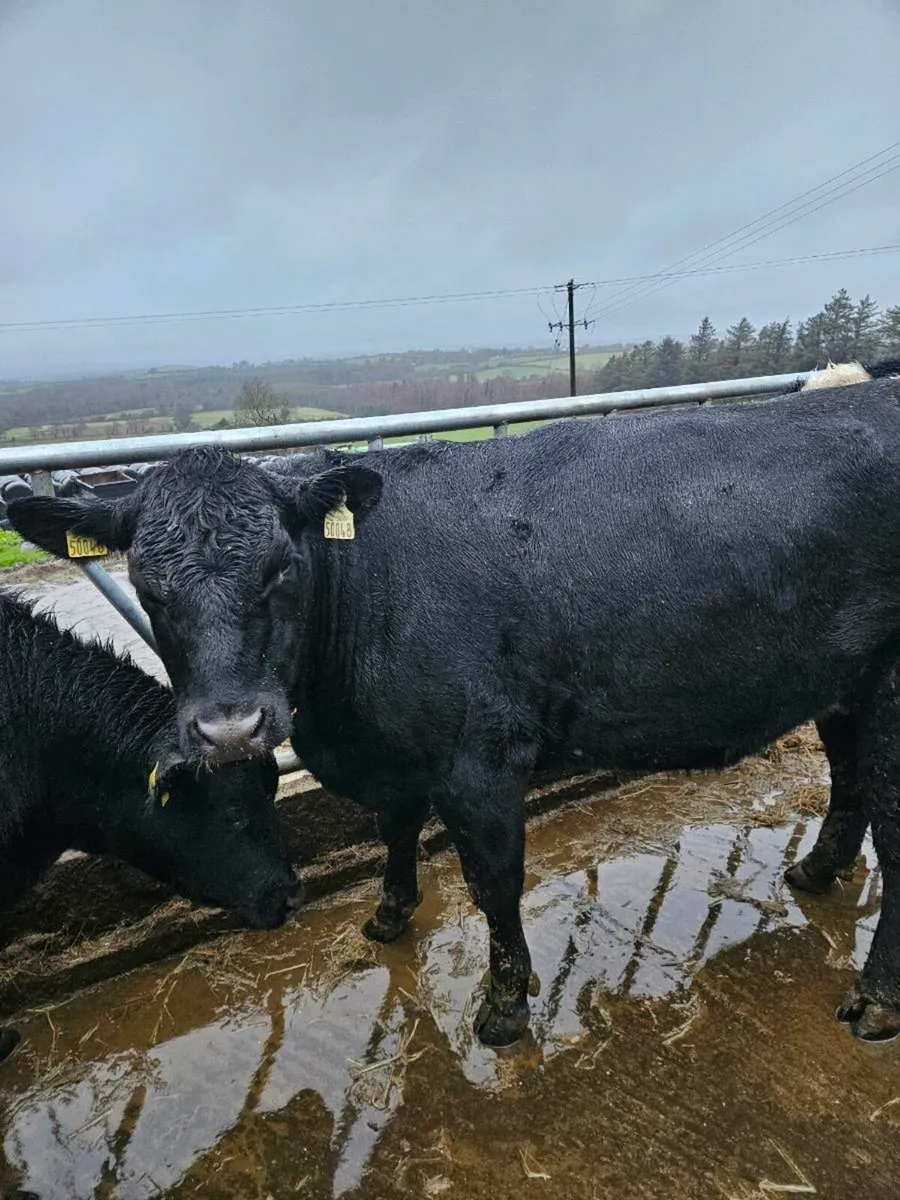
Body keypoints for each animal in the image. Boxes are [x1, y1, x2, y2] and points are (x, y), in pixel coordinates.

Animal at [11, 372, 900, 1048]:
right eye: (148, 587)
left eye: (279, 566)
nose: (231, 728)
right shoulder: (397, 756)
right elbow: (395, 830)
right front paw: (389, 916)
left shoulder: (481, 762)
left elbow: (493, 882)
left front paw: (505, 1008)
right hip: (846, 683)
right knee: (851, 780)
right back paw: (815, 873)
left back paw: (875, 1001)